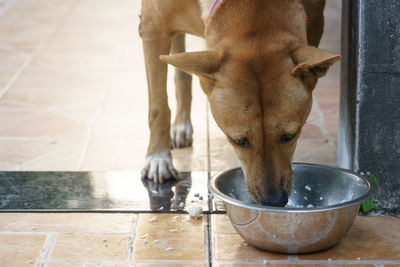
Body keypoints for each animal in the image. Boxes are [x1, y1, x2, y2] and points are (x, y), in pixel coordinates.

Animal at [139, 0, 340, 207]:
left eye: (290, 136)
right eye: (238, 141)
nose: (274, 201)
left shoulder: (315, 20)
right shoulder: (153, 26)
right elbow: (158, 106)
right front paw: (158, 159)